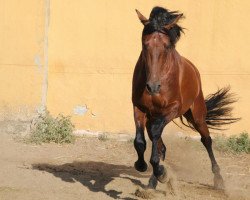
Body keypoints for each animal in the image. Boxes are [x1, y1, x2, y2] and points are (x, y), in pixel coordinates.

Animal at [132, 7, 239, 190]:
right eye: (145, 44)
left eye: (167, 46)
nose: (153, 87)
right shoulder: (139, 107)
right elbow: (140, 141)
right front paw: (143, 166)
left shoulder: (172, 109)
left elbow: (155, 135)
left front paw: (159, 171)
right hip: (154, 116)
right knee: (159, 144)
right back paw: (154, 180)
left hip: (197, 115)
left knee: (206, 140)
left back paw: (218, 180)